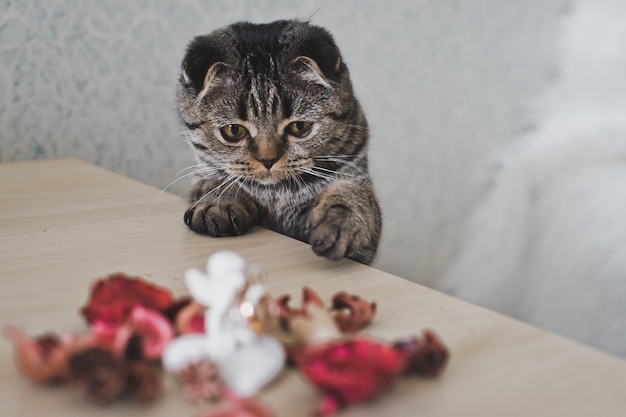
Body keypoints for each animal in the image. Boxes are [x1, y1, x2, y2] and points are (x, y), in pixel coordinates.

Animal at [174, 19, 380, 264]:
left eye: (300, 127)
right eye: (233, 130)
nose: (268, 159)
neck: (276, 195)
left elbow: (354, 193)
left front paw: (339, 218)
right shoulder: (202, 177)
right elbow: (216, 181)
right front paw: (219, 200)